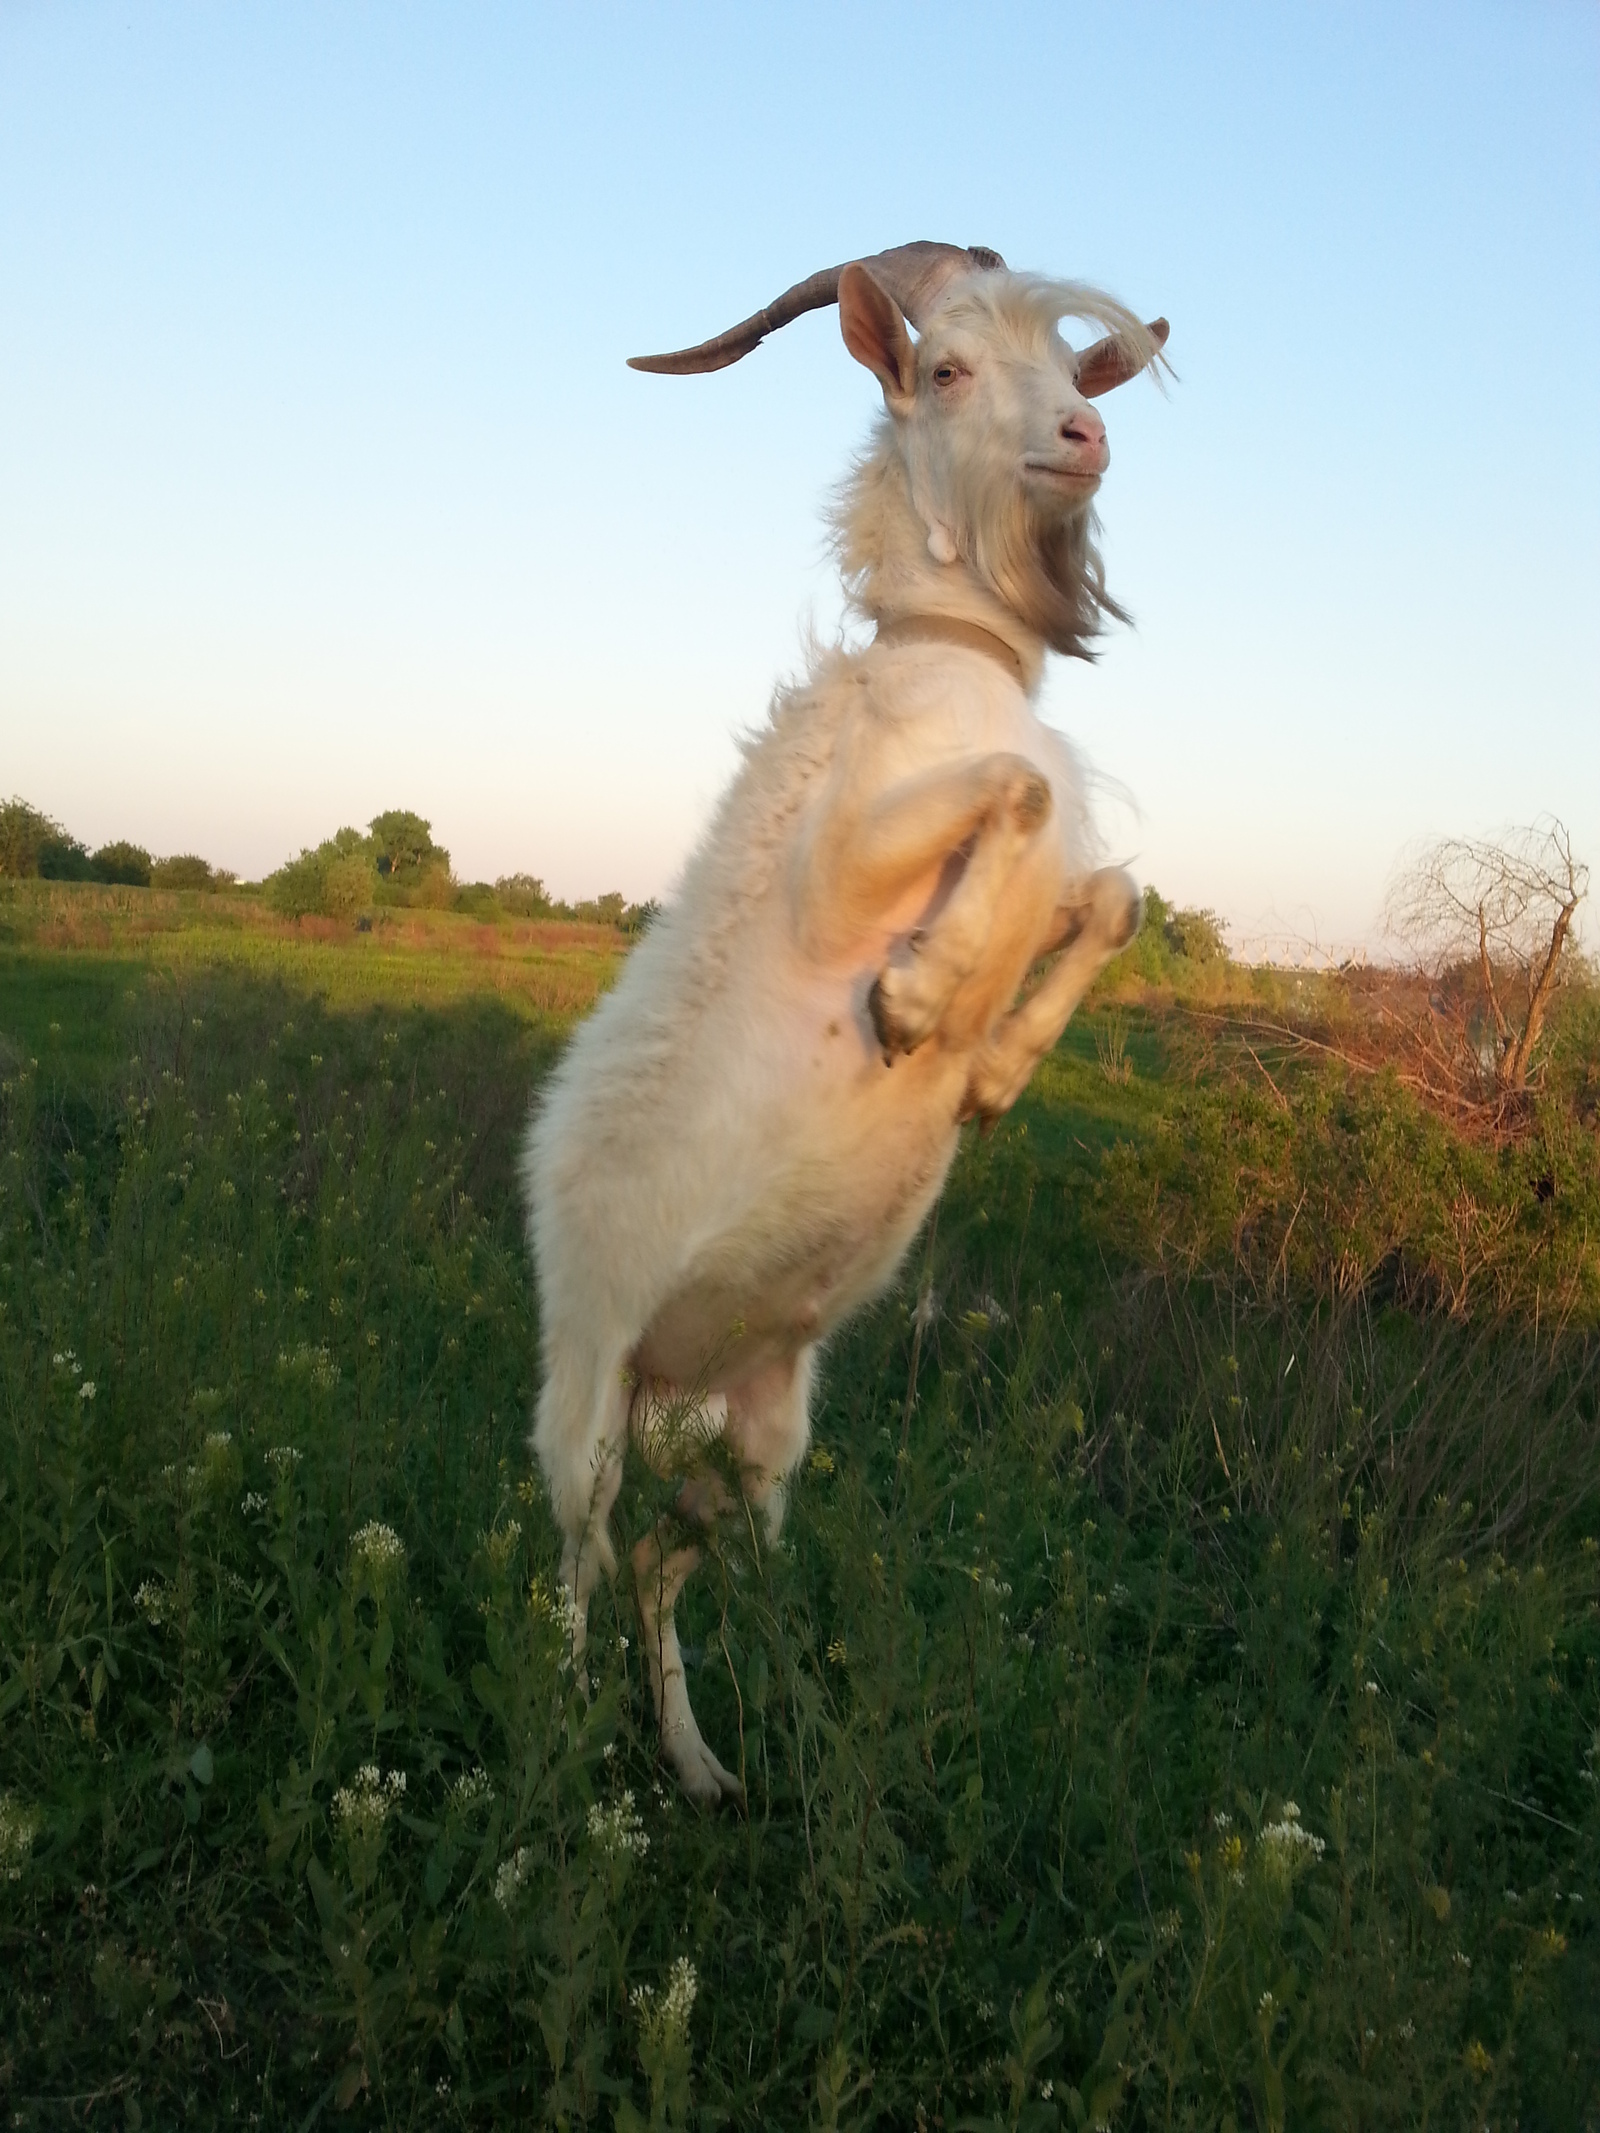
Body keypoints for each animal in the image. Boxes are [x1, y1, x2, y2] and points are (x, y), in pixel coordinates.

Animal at [526, 237, 1169, 1800]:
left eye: (1070, 366)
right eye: (944, 365)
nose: (1084, 437)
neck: (955, 667)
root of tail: (666, 1378)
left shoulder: (1069, 882)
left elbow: (1113, 892)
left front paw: (988, 1070)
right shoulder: (835, 873)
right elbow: (1025, 791)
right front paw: (921, 997)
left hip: (766, 1440)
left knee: (656, 1565)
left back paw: (700, 1764)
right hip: (583, 1383)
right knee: (576, 1558)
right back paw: (560, 1758)